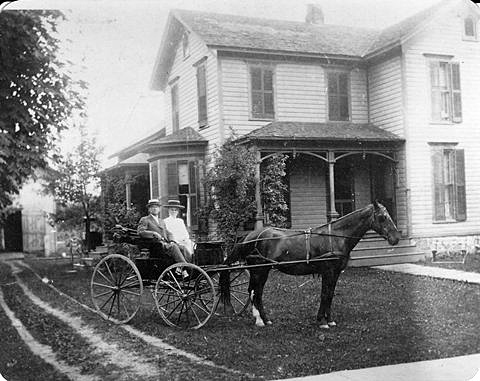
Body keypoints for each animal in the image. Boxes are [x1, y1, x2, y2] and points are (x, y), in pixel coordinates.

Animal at [219, 200, 400, 328]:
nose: (396, 238)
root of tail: (249, 236)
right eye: (382, 217)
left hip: (259, 271)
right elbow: (325, 294)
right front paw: (322, 322)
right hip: (260, 271)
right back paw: (261, 320)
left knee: (254, 292)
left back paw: (262, 319)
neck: (336, 237)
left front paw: (329, 320)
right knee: (256, 293)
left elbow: (330, 295)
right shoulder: (328, 272)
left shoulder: (335, 273)